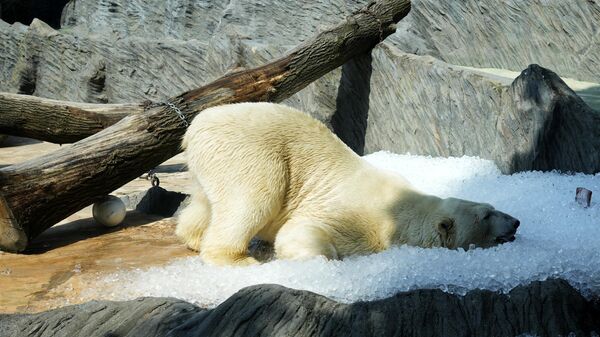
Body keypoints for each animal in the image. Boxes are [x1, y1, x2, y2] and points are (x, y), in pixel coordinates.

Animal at [176, 102, 516, 266]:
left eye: (494, 207)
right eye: (486, 215)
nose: (516, 222)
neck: (400, 209)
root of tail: (195, 126)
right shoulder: (358, 217)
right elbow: (300, 230)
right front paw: (319, 259)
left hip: (213, 161)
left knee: (209, 201)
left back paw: (193, 237)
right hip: (250, 151)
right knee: (253, 199)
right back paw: (237, 259)